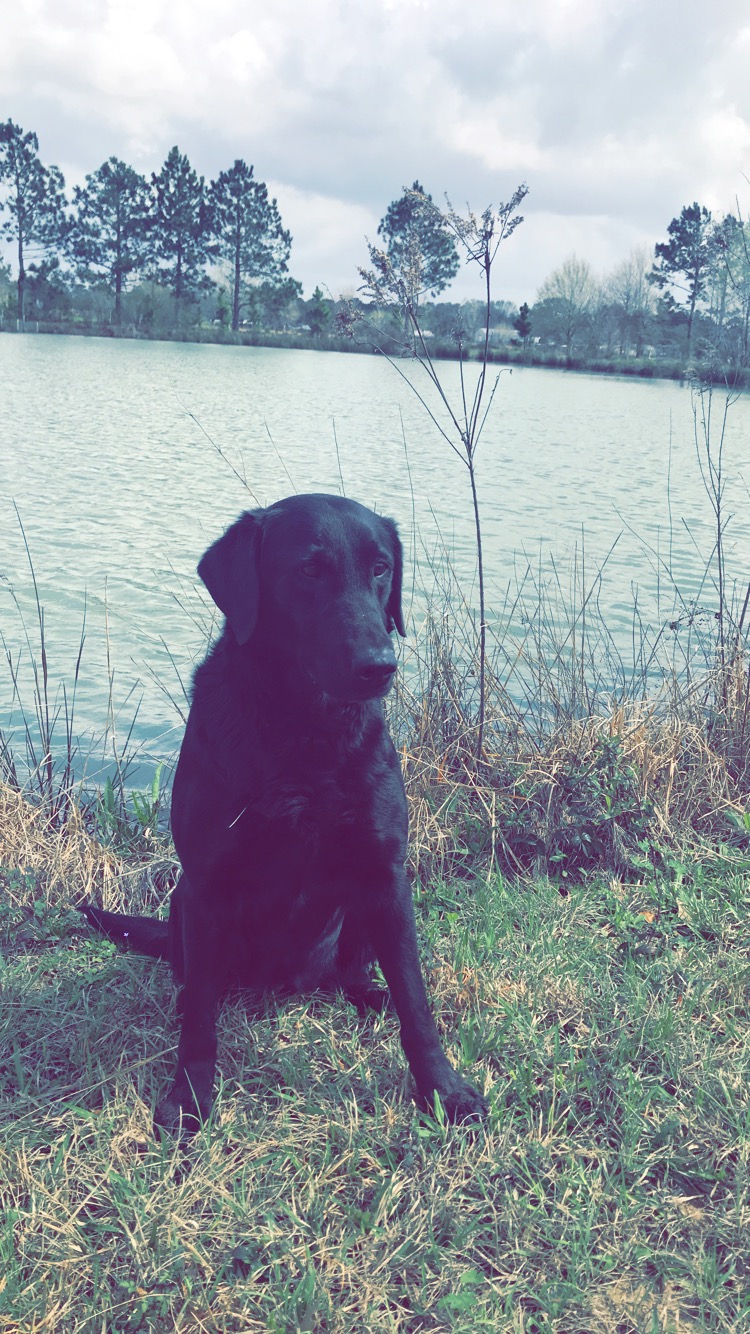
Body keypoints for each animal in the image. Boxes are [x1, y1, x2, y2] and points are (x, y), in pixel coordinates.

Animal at [80, 496, 485, 1131]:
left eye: (381, 568)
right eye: (308, 570)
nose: (379, 666)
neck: (305, 734)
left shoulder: (387, 873)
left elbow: (415, 1001)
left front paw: (443, 1090)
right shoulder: (207, 883)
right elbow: (202, 1020)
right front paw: (189, 1098)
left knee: (352, 975)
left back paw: (368, 995)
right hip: (184, 905)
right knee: (197, 986)